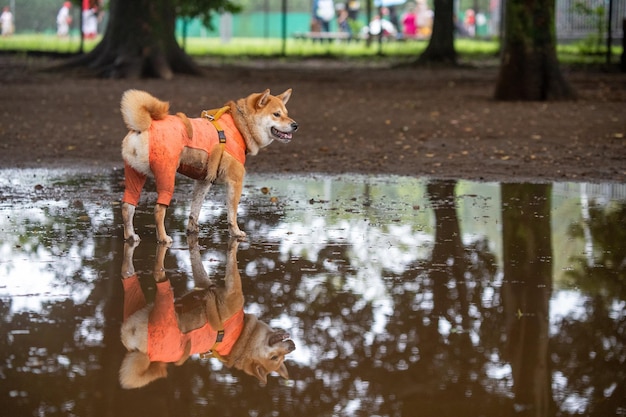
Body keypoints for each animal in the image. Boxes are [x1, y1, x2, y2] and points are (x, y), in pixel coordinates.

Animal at [119, 236, 294, 388]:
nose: (293, 347)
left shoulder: (233, 293)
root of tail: (141, 350)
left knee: (155, 279)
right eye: (275, 357)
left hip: (162, 306)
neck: (241, 336)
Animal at [120, 89, 300, 242]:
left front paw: (192, 230)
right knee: (158, 210)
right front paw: (236, 232)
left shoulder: (204, 181)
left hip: (135, 175)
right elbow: (232, 214)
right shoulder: (235, 182)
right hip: (167, 176)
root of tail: (144, 126)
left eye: (286, 114)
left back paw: (131, 236)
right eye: (276, 114)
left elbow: (195, 210)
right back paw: (163, 238)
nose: (295, 125)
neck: (239, 125)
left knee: (127, 206)